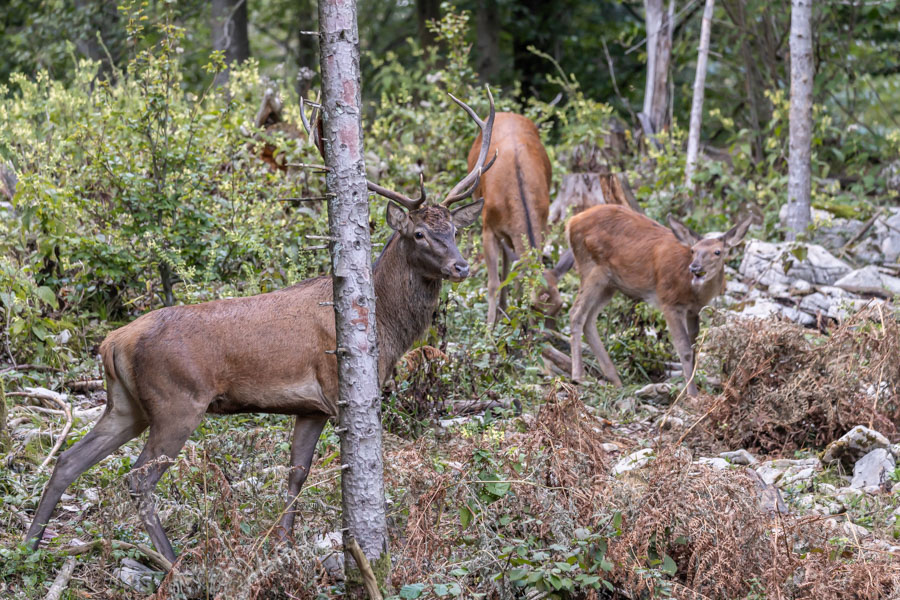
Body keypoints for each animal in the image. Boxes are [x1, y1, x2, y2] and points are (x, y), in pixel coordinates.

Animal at [22, 89, 500, 564]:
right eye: (419, 233)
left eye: (454, 229)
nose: (461, 266)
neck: (385, 326)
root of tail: (111, 343)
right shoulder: (337, 389)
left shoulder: (310, 406)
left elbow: (296, 472)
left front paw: (283, 544)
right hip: (176, 401)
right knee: (138, 478)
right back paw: (173, 563)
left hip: (126, 404)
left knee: (68, 460)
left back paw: (29, 547)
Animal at [468, 110, 552, 326]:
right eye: (534, 307)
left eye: (558, 308)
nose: (540, 331)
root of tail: (507, 112)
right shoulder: (487, 228)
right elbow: (492, 283)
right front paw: (489, 327)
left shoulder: (544, 223)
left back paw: (504, 307)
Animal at [568, 204, 748, 396]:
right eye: (693, 250)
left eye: (717, 252)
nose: (695, 267)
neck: (692, 291)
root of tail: (571, 222)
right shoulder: (669, 301)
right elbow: (684, 349)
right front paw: (692, 394)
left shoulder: (694, 310)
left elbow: (693, 346)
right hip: (592, 268)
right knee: (576, 313)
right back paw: (579, 376)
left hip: (610, 284)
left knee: (589, 318)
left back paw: (614, 379)